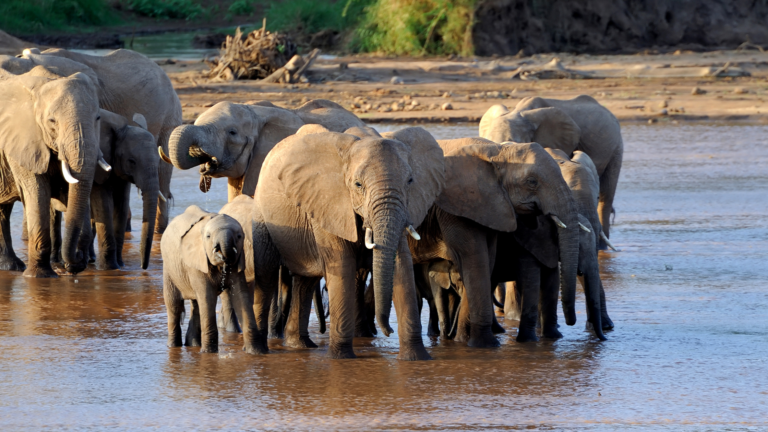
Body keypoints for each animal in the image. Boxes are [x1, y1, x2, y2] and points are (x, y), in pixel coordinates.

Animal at [0, 69, 105, 276]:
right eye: (52, 121)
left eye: (98, 118)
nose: (78, 258)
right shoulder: (22, 143)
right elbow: (37, 193)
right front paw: (39, 275)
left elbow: (69, 191)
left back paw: (11, 266)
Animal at [160, 206, 260, 354]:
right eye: (208, 237)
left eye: (239, 236)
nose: (221, 254)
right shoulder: (197, 261)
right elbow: (208, 297)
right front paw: (208, 352)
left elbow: (240, 295)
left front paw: (256, 351)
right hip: (169, 268)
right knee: (174, 305)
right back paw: (174, 346)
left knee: (196, 305)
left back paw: (193, 345)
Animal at [255, 128, 444, 362]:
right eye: (358, 185)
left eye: (410, 180)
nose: (388, 330)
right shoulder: (328, 204)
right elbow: (342, 265)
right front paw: (341, 358)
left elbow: (401, 264)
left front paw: (416, 358)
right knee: (277, 274)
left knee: (305, 281)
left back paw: (300, 345)